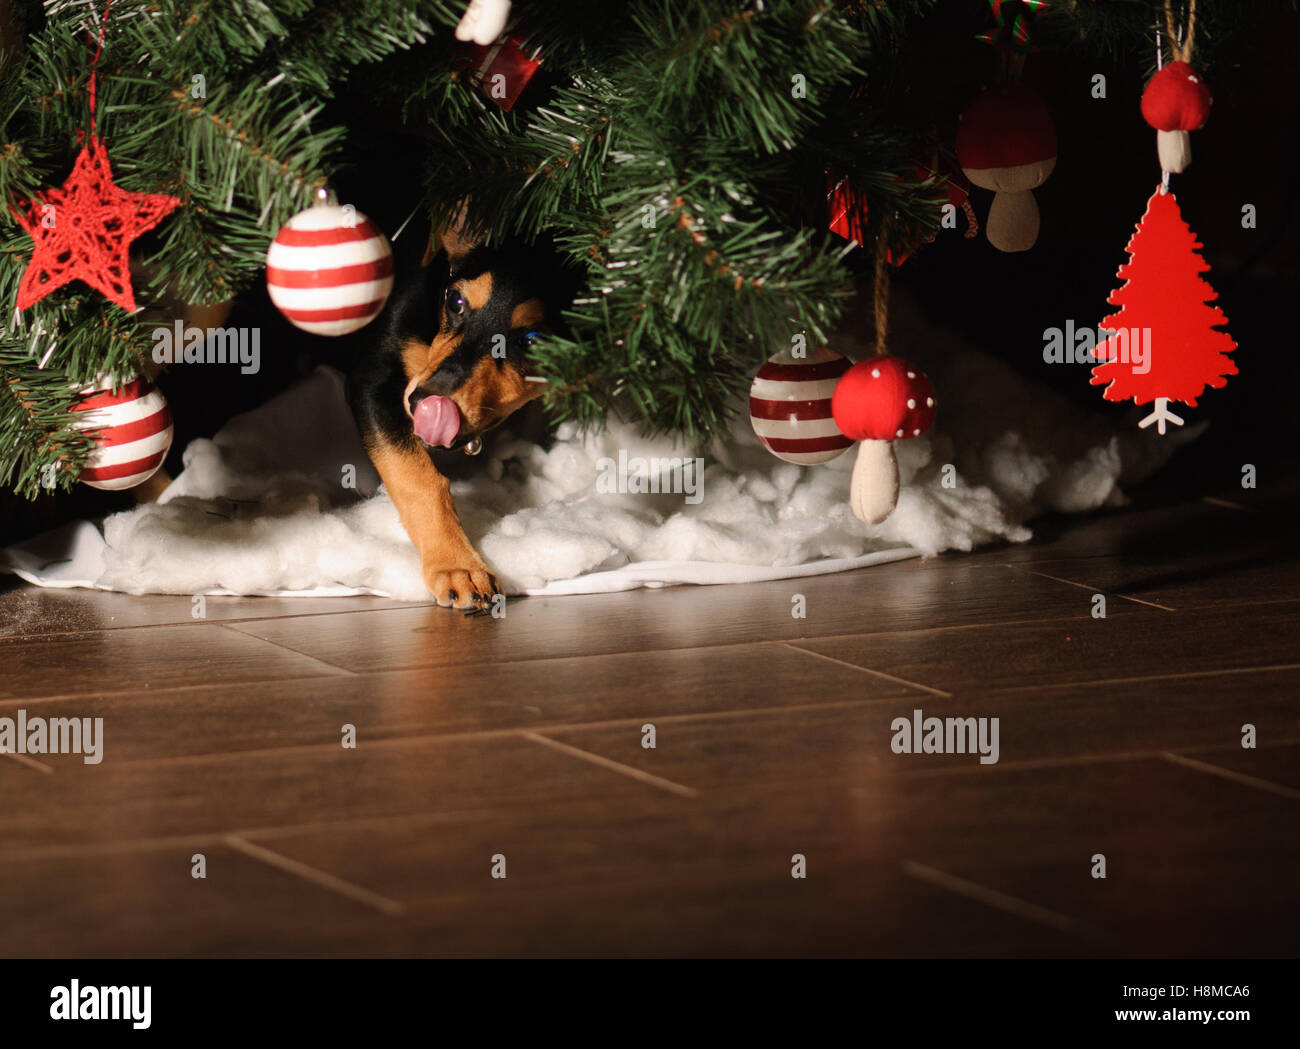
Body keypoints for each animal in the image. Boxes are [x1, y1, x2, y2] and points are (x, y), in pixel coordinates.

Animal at [345, 220, 548, 610]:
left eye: (533, 339)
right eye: (455, 300)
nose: (423, 401)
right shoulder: (372, 382)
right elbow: (416, 478)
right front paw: (457, 567)